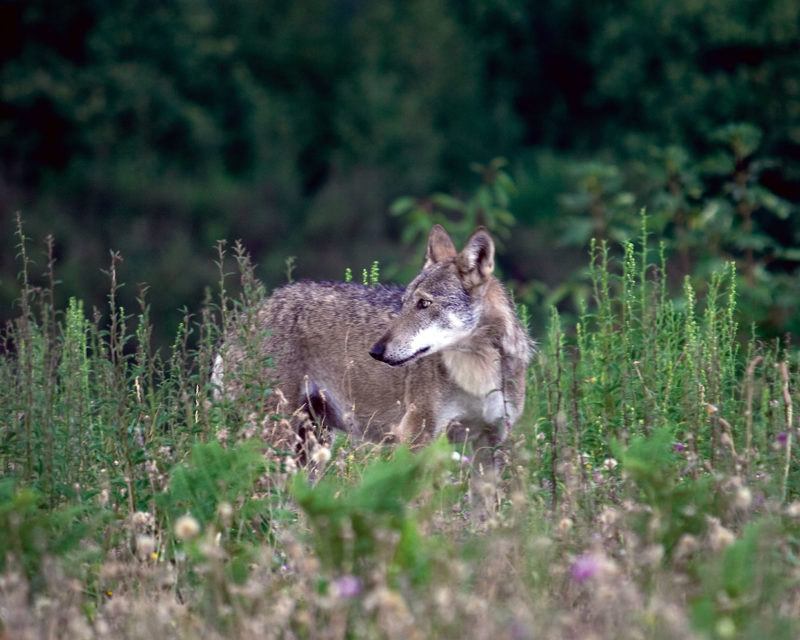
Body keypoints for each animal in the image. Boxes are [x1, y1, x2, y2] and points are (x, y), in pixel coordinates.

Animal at [214, 225, 532, 470]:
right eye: (403, 303)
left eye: (424, 303)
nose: (376, 351)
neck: (477, 372)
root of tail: (248, 314)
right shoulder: (416, 437)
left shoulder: (489, 445)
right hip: (278, 440)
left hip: (313, 448)